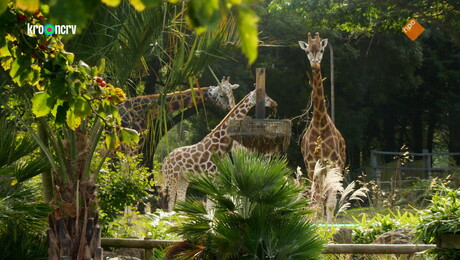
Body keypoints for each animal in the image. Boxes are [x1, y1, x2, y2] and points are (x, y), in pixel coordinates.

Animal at [298, 32, 344, 181]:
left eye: (322, 50)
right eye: (307, 51)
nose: (314, 62)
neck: (320, 123)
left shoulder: (334, 162)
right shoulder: (311, 164)